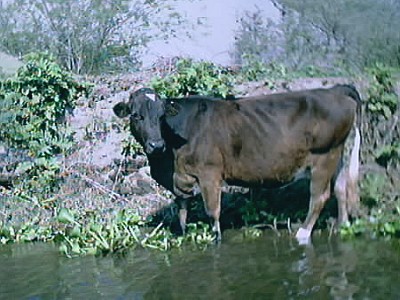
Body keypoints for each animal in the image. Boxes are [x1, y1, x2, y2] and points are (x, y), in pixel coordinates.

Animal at [113, 85, 362, 244]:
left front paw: (216, 240)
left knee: (320, 196)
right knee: (341, 188)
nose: (156, 145)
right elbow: (182, 213)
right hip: (337, 154)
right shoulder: (179, 180)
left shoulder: (209, 174)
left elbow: (212, 212)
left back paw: (302, 233)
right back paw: (343, 226)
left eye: (162, 116)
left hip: (324, 156)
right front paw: (183, 236)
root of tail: (335, 90)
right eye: (135, 115)